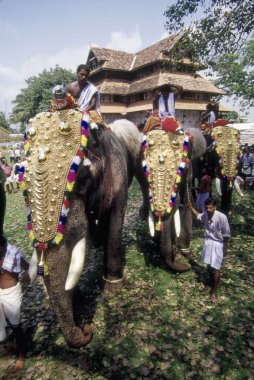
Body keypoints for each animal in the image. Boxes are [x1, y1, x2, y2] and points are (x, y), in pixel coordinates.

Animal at [18, 110, 144, 348]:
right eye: (23, 187)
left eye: (82, 179)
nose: (86, 329)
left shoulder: (118, 176)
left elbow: (116, 217)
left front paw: (113, 287)